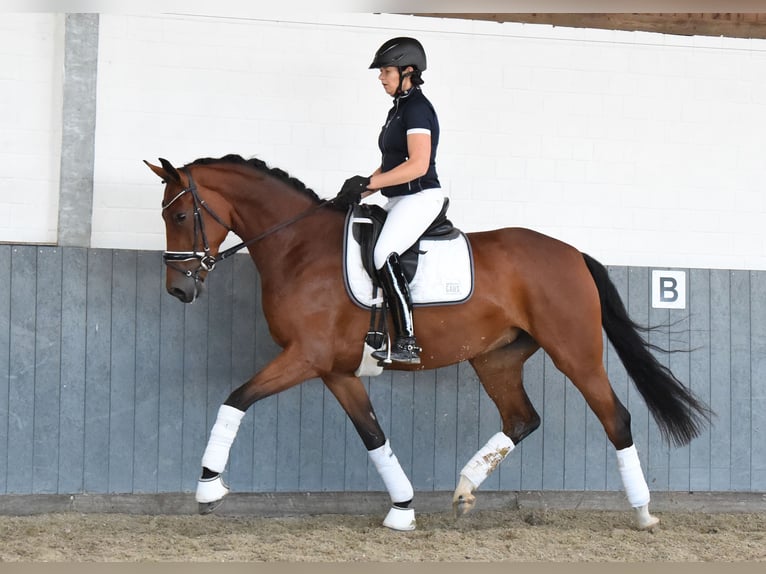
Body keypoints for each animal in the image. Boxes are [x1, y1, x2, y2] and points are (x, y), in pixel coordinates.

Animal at [146, 154, 712, 536]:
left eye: (179, 216)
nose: (178, 290)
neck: (299, 248)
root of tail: (572, 253)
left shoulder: (305, 357)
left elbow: (235, 399)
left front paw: (208, 488)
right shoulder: (337, 371)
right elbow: (374, 436)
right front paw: (402, 510)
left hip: (575, 352)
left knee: (616, 417)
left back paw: (643, 513)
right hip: (495, 358)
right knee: (521, 420)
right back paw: (463, 492)